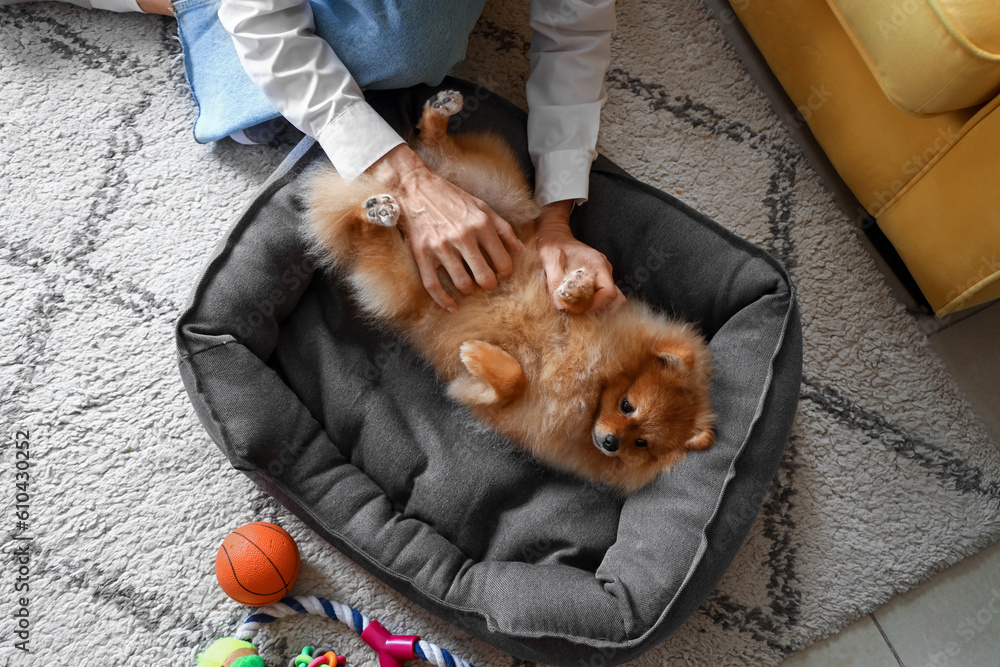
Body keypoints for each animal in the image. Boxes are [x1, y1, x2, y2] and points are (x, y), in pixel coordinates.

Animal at [308, 90, 716, 496]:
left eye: (641, 442)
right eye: (627, 405)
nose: (611, 442)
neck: (592, 384)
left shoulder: (495, 406)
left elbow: (512, 380)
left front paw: (477, 354)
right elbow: (558, 320)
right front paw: (576, 289)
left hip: (409, 269)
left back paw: (382, 204)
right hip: (493, 197)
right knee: (428, 162)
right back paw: (421, 144)